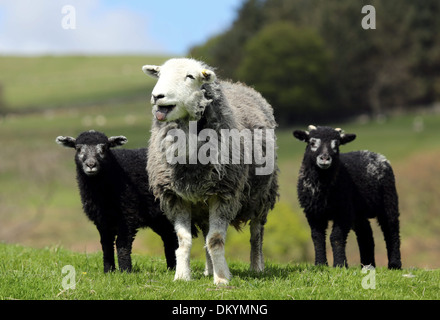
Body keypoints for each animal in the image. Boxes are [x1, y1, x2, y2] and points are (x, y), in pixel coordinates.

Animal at [55, 130, 179, 272]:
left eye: (104, 148)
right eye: (78, 148)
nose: (91, 165)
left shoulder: (128, 214)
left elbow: (122, 244)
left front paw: (125, 271)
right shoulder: (101, 220)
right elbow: (106, 244)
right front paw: (108, 270)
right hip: (160, 218)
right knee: (170, 238)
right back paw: (172, 268)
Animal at [142, 57, 278, 284]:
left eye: (190, 76)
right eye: (160, 75)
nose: (157, 96)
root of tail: (239, 84)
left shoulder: (224, 193)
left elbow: (215, 240)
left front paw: (222, 279)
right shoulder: (175, 195)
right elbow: (184, 240)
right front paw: (182, 276)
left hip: (263, 195)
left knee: (256, 232)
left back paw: (256, 267)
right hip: (203, 203)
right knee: (206, 233)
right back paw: (208, 269)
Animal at [294, 125, 400, 270]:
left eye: (336, 144)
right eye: (312, 142)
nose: (325, 158)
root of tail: (377, 155)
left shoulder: (343, 211)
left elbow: (336, 237)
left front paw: (340, 264)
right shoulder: (313, 213)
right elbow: (317, 237)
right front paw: (320, 264)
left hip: (389, 200)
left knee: (391, 230)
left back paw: (394, 265)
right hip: (358, 212)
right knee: (365, 234)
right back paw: (368, 265)